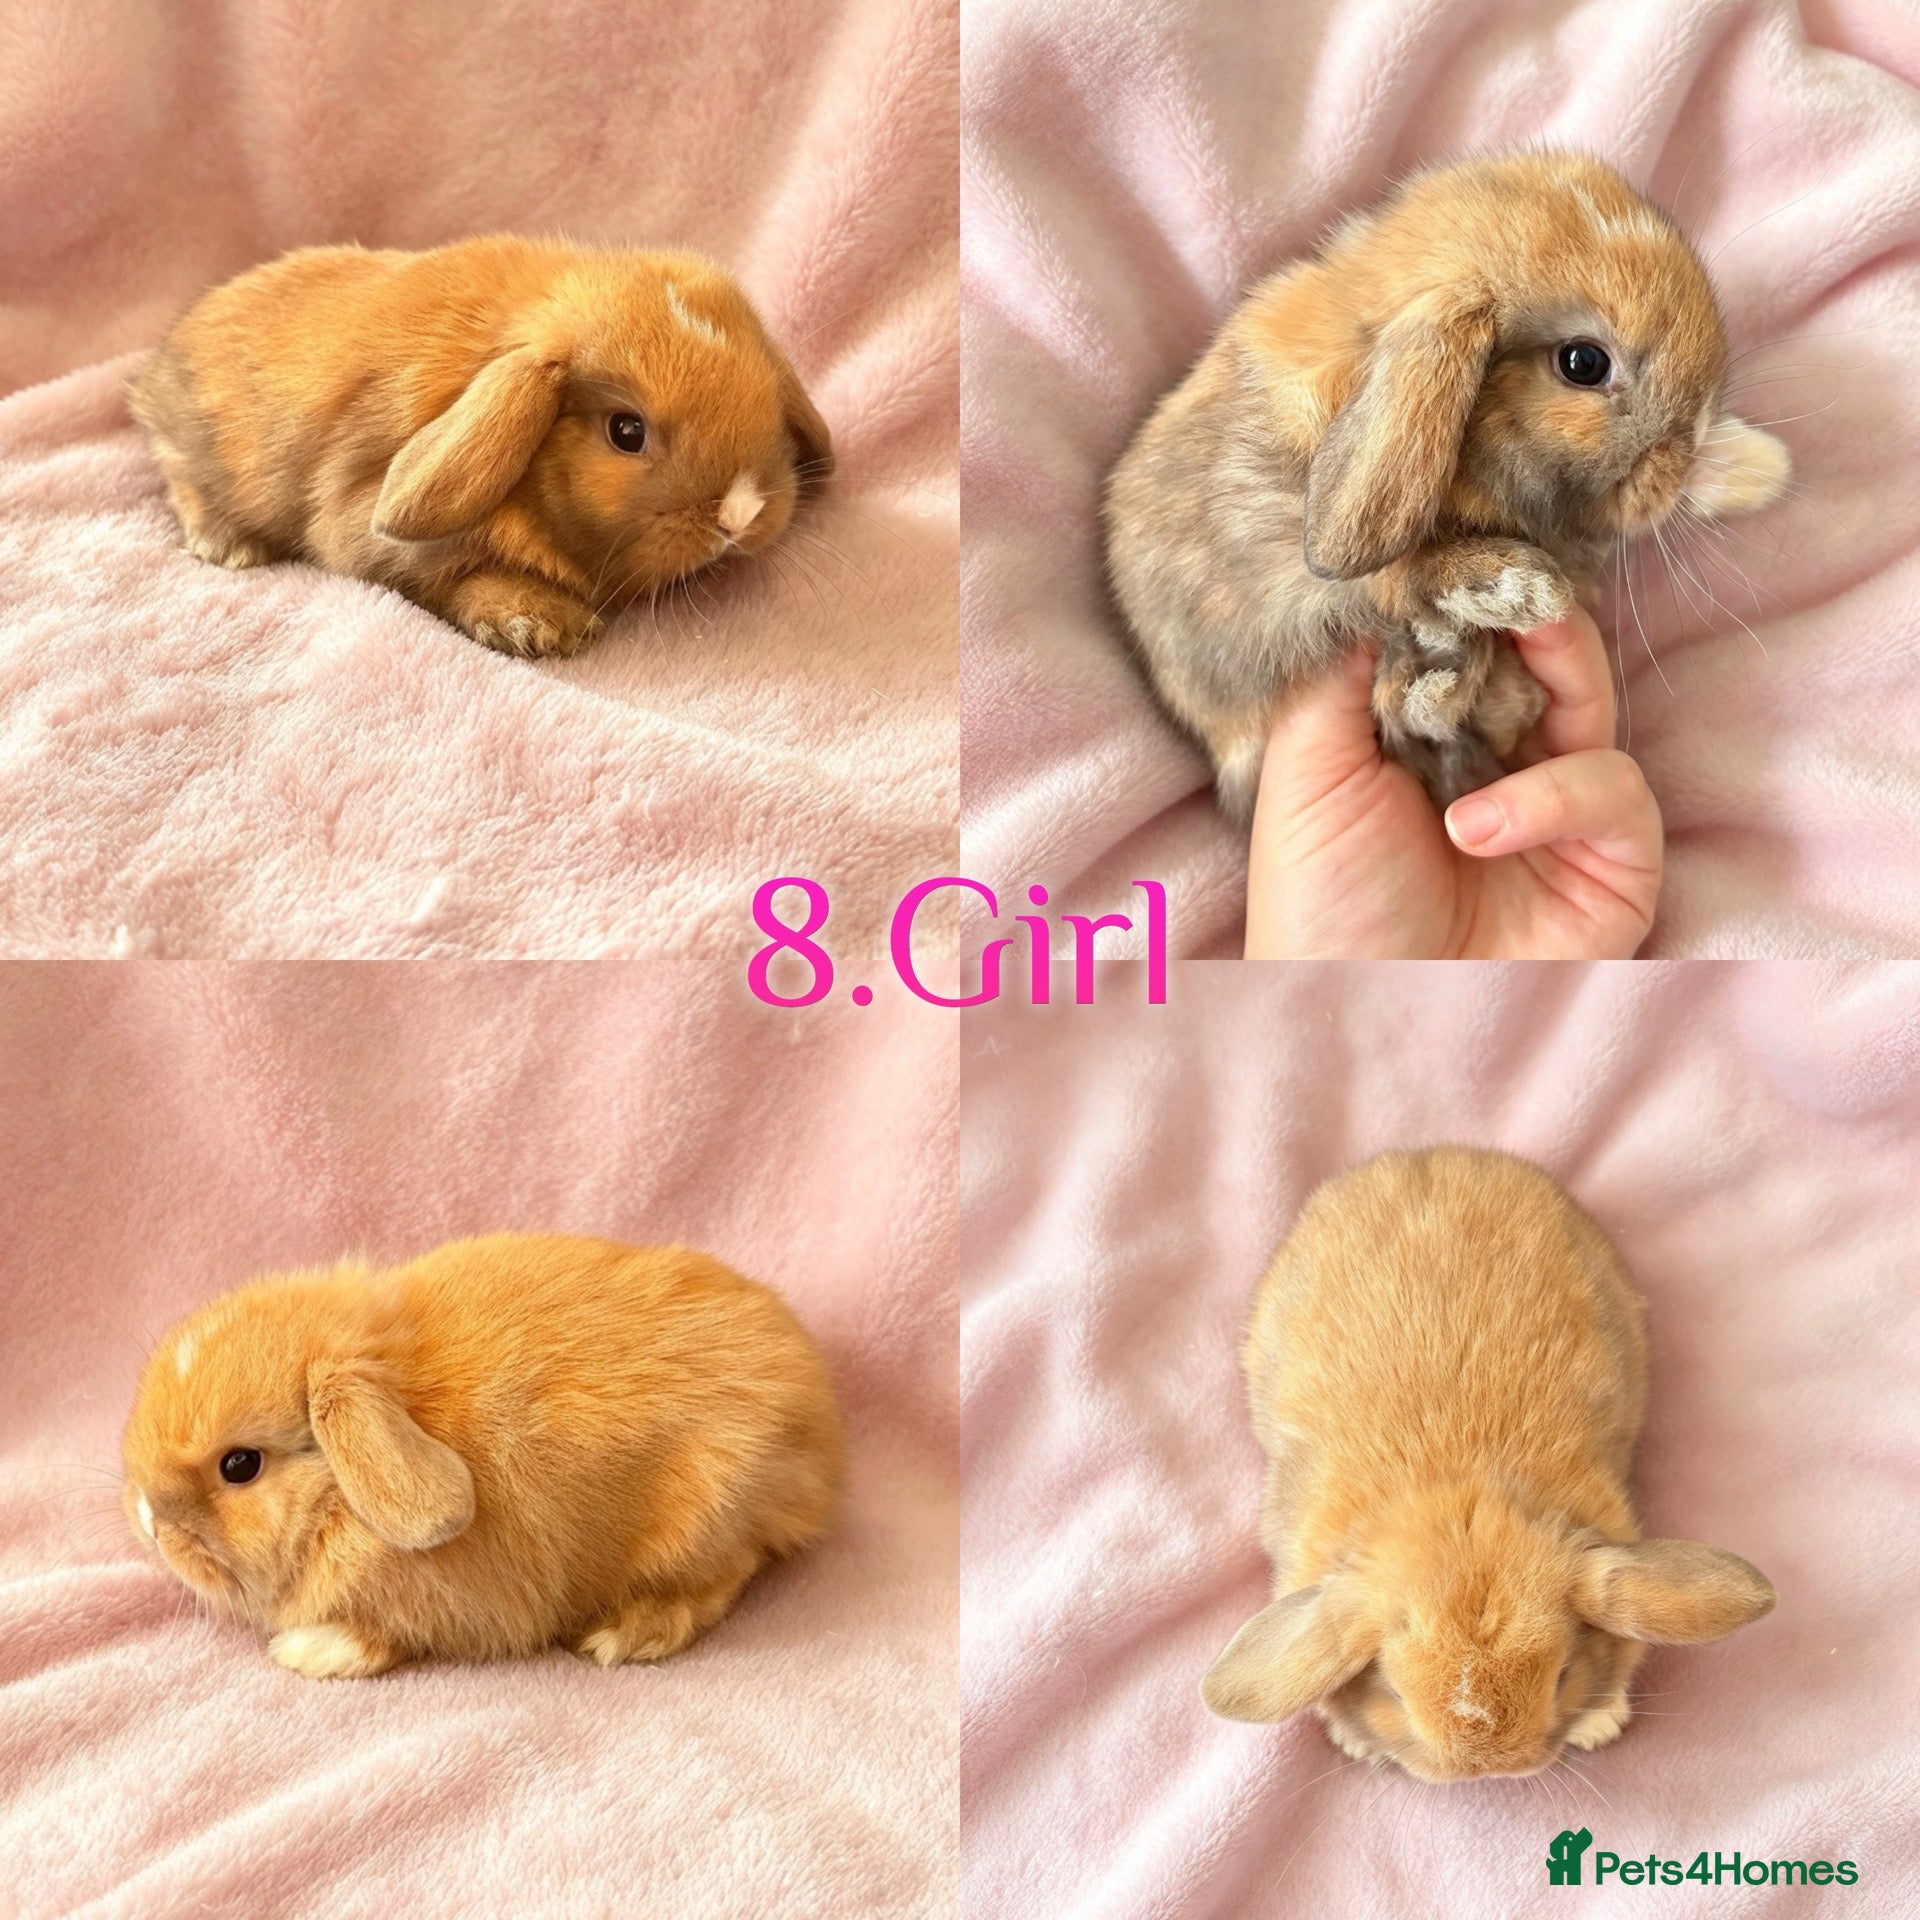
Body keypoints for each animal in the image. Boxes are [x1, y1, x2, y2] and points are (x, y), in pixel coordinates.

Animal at [121, 1233, 844, 1678]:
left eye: (240, 1466)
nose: (151, 1523)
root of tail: (819, 1422)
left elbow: (382, 1635)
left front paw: (311, 1652)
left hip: (704, 1523)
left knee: (726, 1579)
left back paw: (624, 1634)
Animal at [128, 236, 833, 657]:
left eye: (768, 396)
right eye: (626, 432)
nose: (739, 514)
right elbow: (449, 579)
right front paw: (541, 626)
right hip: (198, 447)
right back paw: (230, 547)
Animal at [1104, 150, 1792, 818]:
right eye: (1583, 362)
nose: (1693, 434)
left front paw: (1761, 466)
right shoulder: (1359, 568)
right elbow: (1412, 574)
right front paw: (1522, 589)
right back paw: (1445, 673)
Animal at [1201, 1148, 1774, 1781]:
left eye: (1562, 1676)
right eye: (1395, 1694)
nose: (1488, 1768)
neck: (1460, 1493)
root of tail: (1433, 1153)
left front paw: (1600, 1724)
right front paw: (1355, 1742)